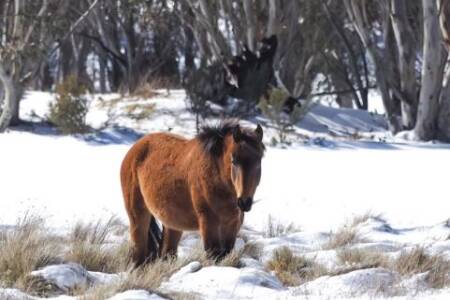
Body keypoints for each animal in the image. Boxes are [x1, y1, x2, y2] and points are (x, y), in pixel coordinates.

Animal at [121, 120, 266, 266]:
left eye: (259, 161)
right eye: (234, 160)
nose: (244, 202)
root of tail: (134, 148)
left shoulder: (232, 226)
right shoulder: (208, 224)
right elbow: (213, 254)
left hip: (172, 224)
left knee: (166, 252)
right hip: (138, 216)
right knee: (138, 252)